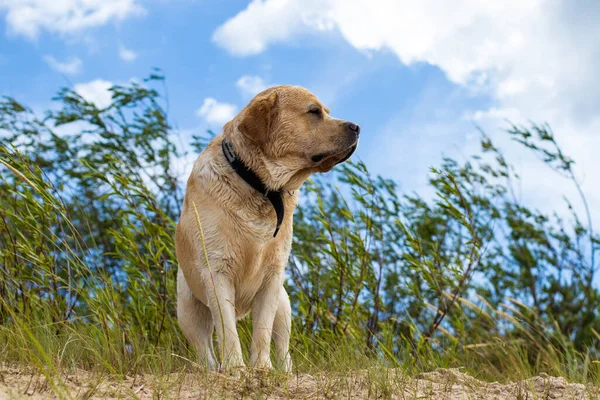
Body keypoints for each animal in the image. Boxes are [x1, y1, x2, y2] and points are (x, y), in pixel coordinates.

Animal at [176, 83, 358, 372]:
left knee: (283, 347)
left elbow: (262, 330)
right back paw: (213, 371)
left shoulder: (272, 277)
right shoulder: (217, 272)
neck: (259, 185)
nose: (357, 127)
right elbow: (227, 330)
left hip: (284, 305)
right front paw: (235, 368)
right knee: (204, 348)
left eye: (327, 112)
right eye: (314, 111)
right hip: (188, 309)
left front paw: (262, 368)